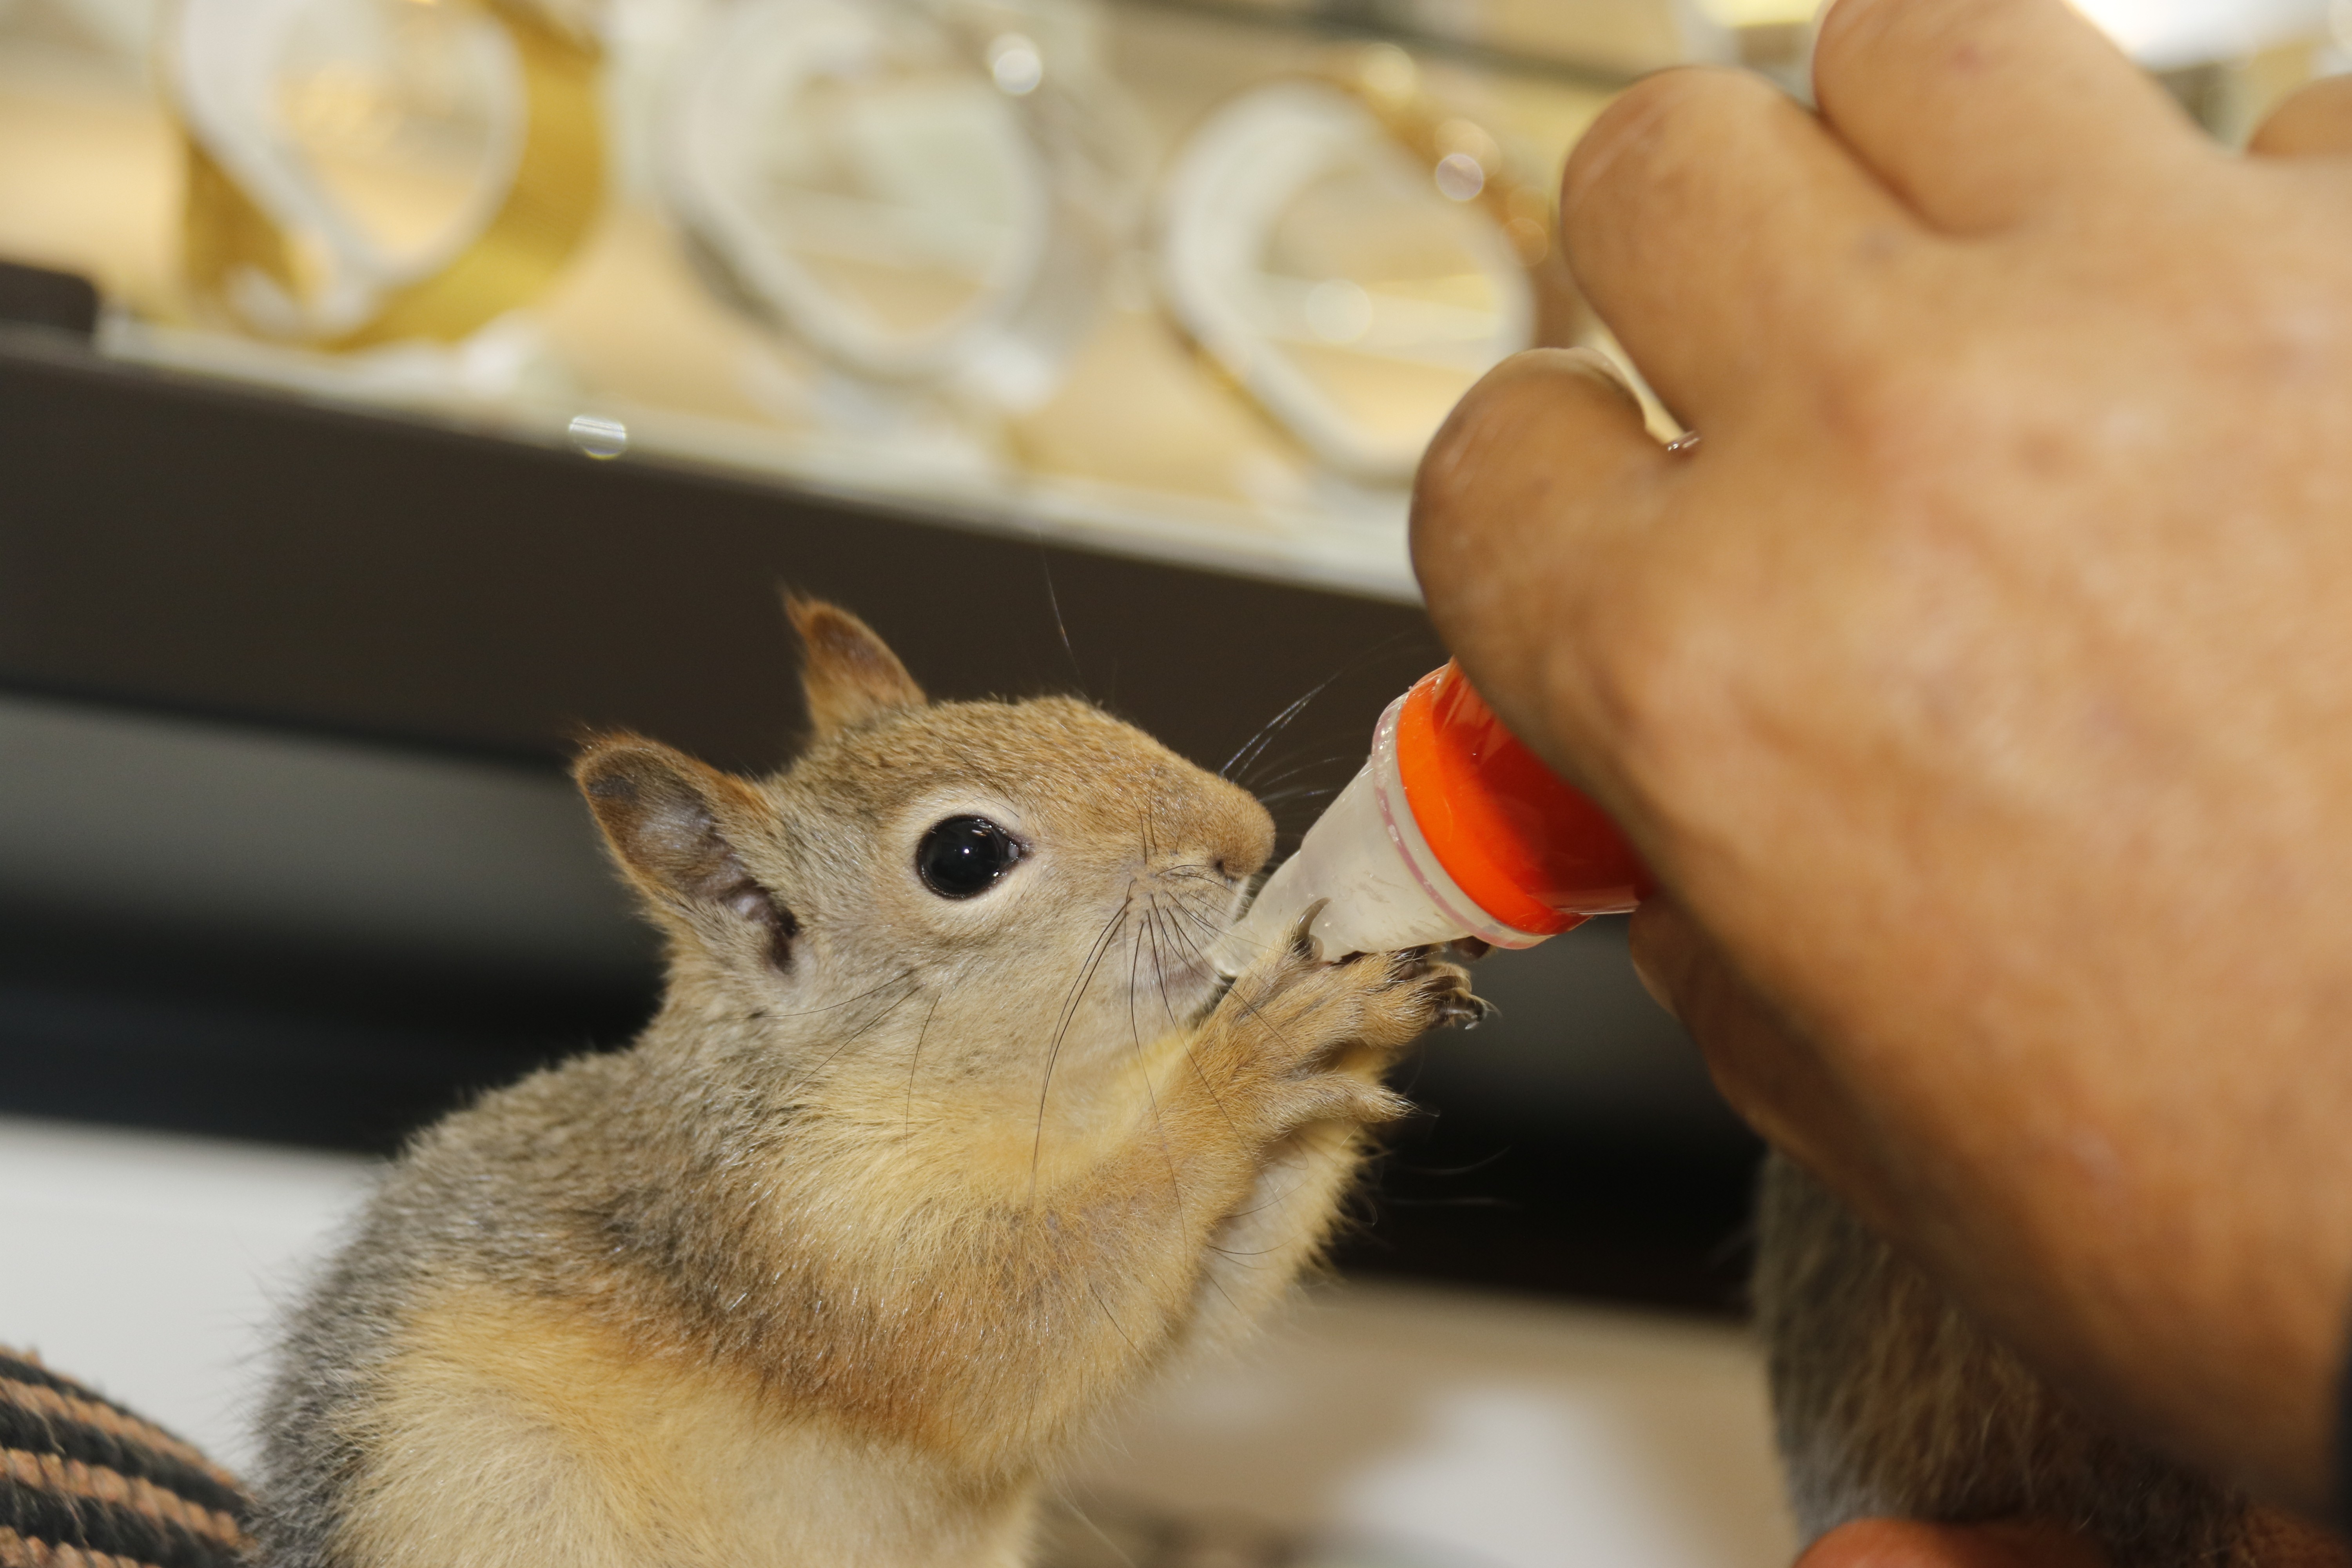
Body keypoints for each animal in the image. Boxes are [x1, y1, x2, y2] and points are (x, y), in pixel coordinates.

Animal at [248, 602, 1477, 1568]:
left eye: (1070, 706)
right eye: (963, 857)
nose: (1249, 836)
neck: (1054, 1102)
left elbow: (1207, 1296)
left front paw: (1375, 985)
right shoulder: (789, 1235)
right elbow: (1004, 1332)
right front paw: (1258, 1053)